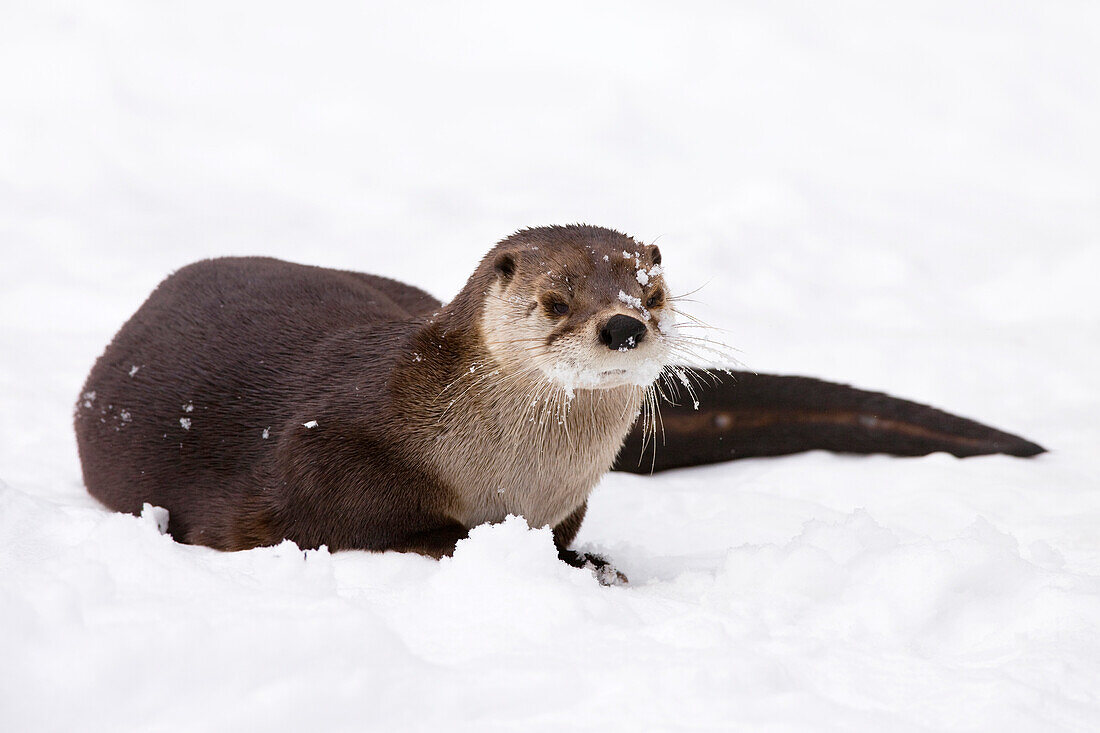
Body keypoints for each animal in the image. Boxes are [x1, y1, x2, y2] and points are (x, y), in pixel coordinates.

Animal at [73, 222, 1042, 581]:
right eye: (555, 298)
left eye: (650, 291)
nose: (622, 325)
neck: (509, 472)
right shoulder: (324, 455)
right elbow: (378, 525)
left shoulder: (567, 494)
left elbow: (564, 531)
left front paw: (587, 558)